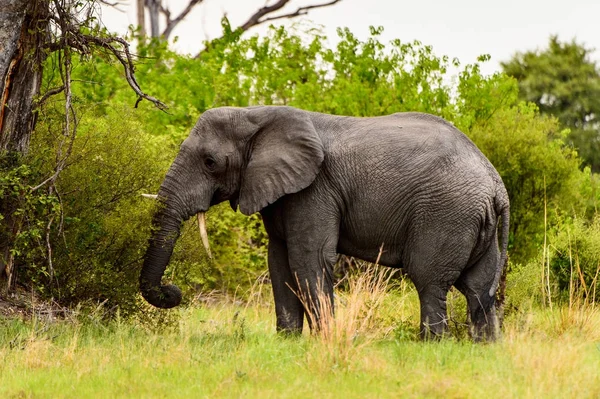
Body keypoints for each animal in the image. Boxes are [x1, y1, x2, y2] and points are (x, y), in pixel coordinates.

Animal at [138, 105, 508, 340]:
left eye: (210, 162)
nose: (173, 290)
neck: (256, 113)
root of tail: (496, 186)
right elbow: (279, 262)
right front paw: (287, 342)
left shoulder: (315, 188)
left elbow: (308, 259)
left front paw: (322, 340)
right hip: (474, 221)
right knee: (478, 290)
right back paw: (485, 348)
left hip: (445, 214)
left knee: (430, 281)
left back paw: (431, 345)